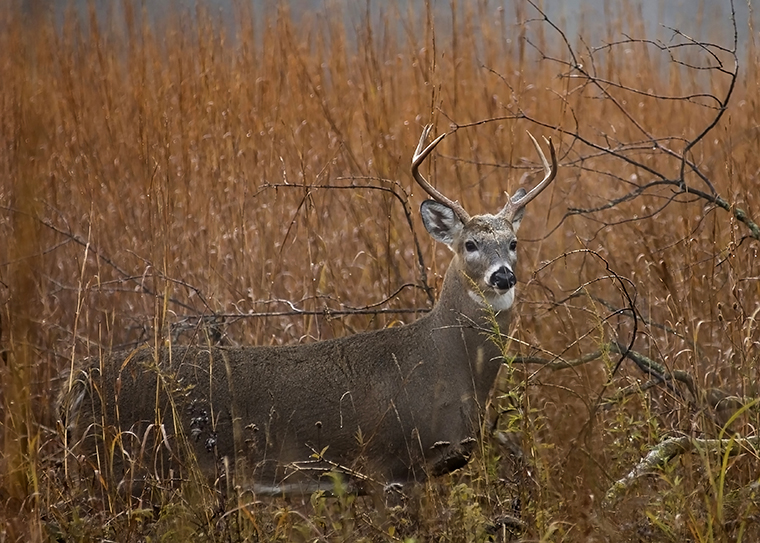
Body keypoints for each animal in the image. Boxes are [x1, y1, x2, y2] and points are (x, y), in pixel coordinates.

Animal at [59, 124, 560, 498]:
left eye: (513, 243)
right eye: (470, 244)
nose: (503, 276)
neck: (443, 367)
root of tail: (81, 380)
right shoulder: (391, 464)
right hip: (132, 466)